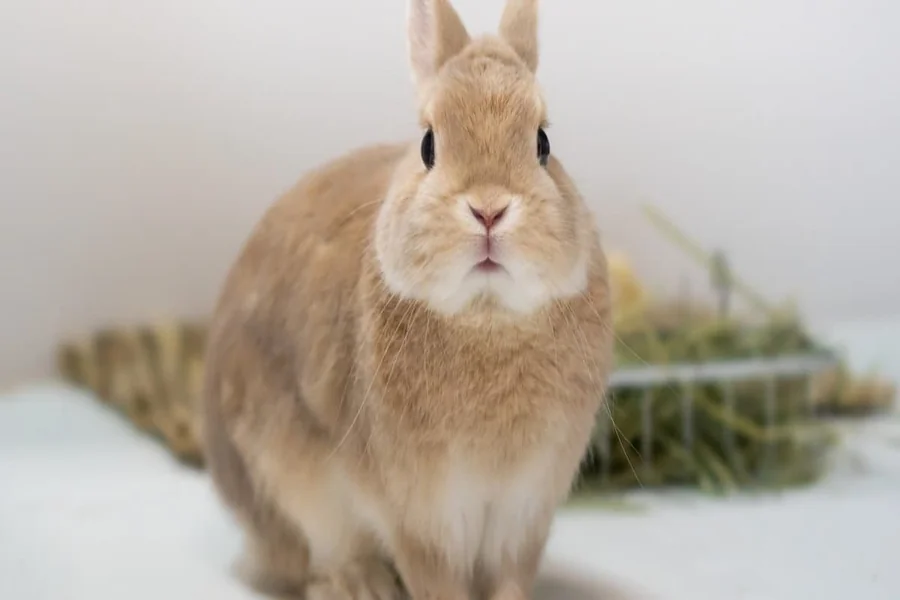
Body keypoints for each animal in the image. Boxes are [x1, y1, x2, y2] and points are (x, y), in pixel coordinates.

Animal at [201, 0, 613, 599]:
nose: (489, 209)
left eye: (542, 144)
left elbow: (511, 580)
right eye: (428, 146)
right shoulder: (422, 519)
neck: (486, 318)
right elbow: (437, 581)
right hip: (285, 478)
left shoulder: (523, 516)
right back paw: (359, 583)